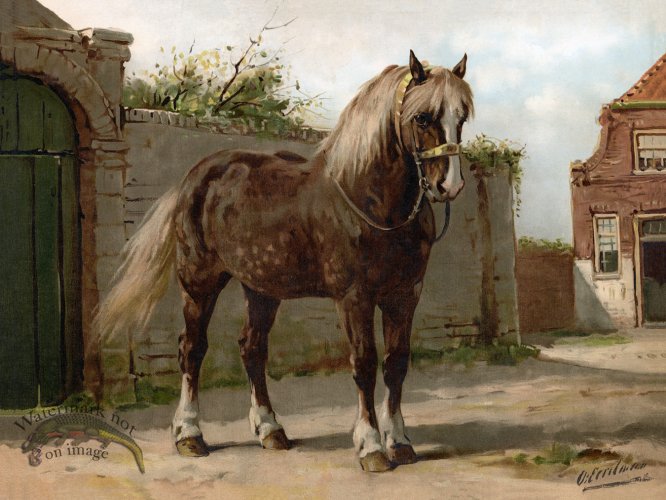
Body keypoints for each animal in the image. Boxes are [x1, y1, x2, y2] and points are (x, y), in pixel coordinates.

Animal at [95, 50, 473, 472]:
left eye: (461, 117)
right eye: (422, 117)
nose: (449, 185)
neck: (367, 200)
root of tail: (197, 176)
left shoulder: (405, 295)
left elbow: (396, 364)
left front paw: (401, 443)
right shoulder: (354, 298)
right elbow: (364, 364)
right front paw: (371, 447)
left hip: (261, 289)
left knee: (252, 348)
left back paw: (270, 430)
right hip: (198, 282)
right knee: (192, 349)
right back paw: (189, 435)